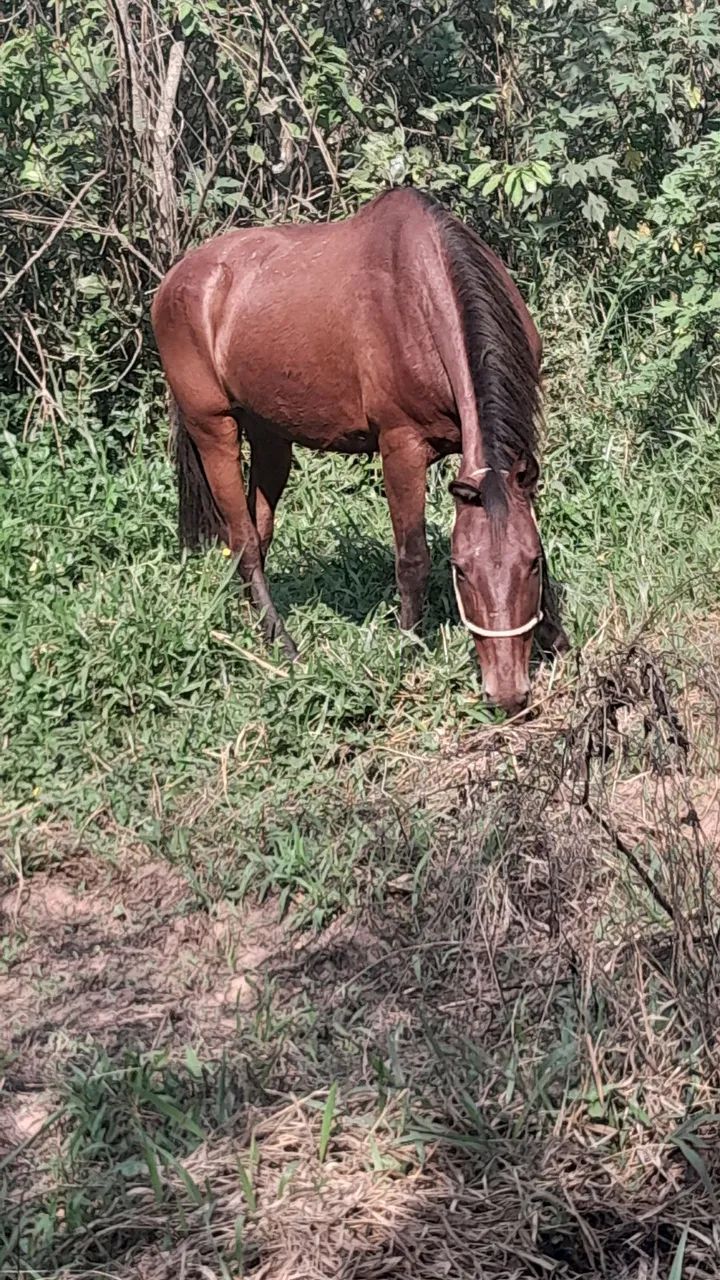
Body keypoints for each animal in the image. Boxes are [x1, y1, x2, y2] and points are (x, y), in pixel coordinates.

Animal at [152, 187, 567, 715]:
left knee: (257, 534)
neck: (420, 297)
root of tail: (174, 282)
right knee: (243, 541)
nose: (508, 694)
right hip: (214, 430)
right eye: (461, 570)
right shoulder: (400, 447)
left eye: (529, 563)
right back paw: (285, 649)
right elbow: (411, 558)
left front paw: (557, 638)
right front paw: (407, 649)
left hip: (271, 439)